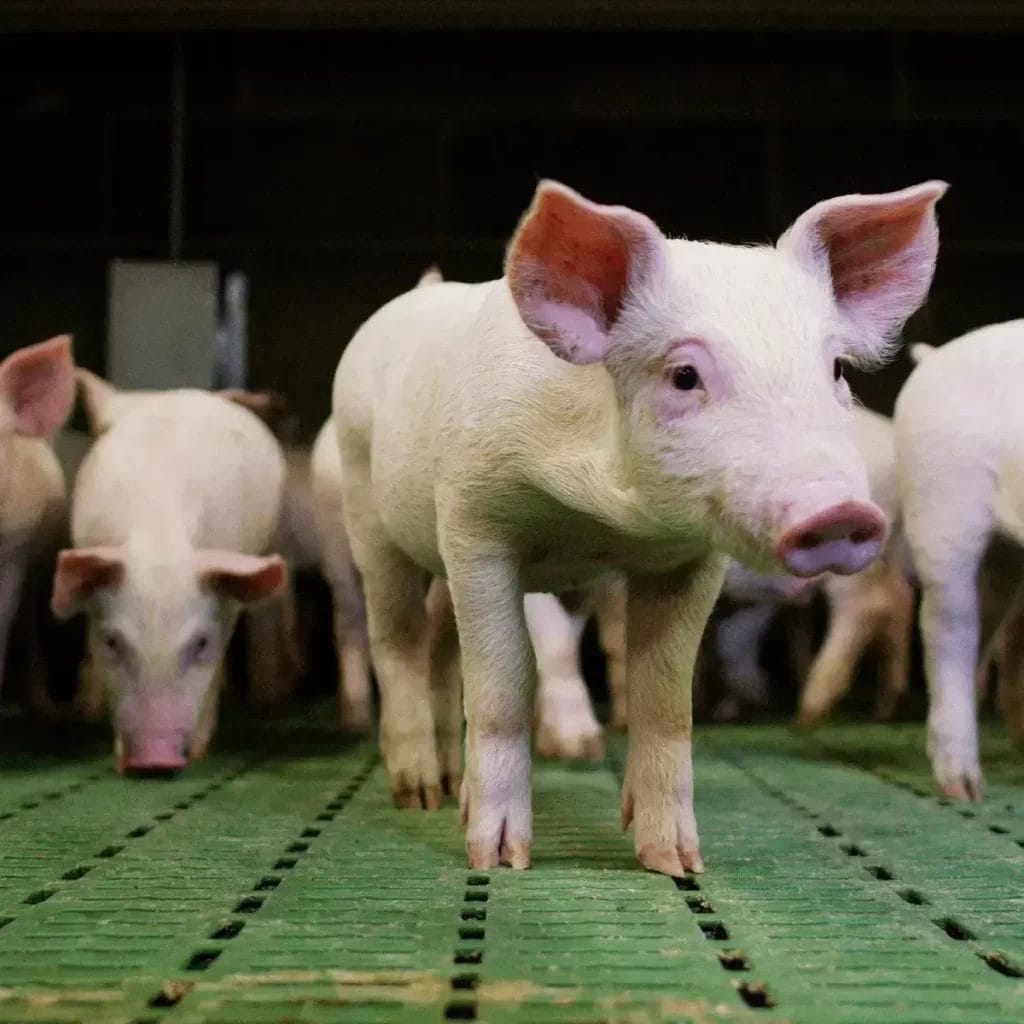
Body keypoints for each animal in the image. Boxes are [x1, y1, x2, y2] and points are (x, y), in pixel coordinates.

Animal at [332, 177, 944, 876]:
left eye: (837, 370)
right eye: (684, 375)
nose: (840, 511)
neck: (597, 522)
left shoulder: (690, 558)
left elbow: (666, 694)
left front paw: (676, 863)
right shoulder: (472, 521)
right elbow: (503, 678)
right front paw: (500, 860)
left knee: (437, 642)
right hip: (367, 512)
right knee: (397, 639)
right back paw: (418, 795)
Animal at [895, 320, 1024, 799]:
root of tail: (935, 358)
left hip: (1004, 555)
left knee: (983, 630)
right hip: (943, 510)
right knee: (948, 629)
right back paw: (964, 789)